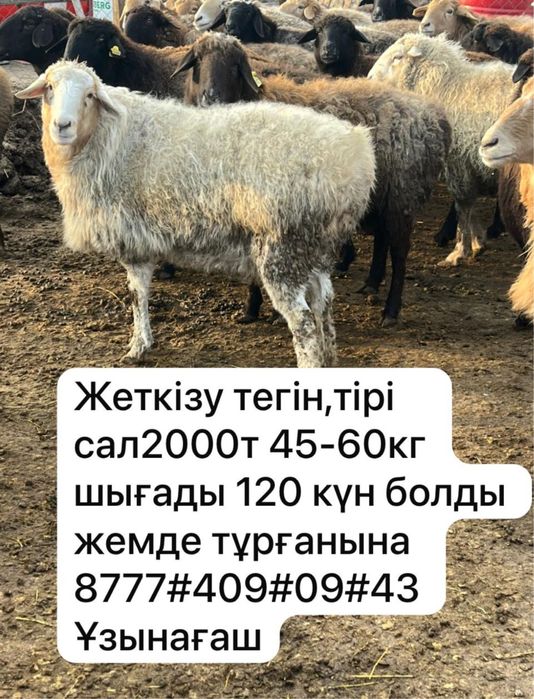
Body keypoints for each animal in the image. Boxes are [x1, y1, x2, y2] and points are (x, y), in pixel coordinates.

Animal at [16, 61, 376, 367]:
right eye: (49, 88)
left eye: (89, 95)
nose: (62, 126)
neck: (110, 137)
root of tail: (354, 156)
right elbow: (139, 293)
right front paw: (144, 342)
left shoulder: (132, 237)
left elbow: (136, 294)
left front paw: (137, 346)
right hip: (316, 245)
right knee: (323, 302)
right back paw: (329, 356)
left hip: (282, 246)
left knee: (303, 322)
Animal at [175, 33, 452, 324]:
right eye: (198, 60)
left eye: (234, 66)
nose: (211, 98)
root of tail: (436, 115)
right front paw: (251, 309)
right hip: (383, 197)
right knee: (382, 240)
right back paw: (370, 284)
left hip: (403, 195)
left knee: (399, 253)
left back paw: (390, 311)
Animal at [368, 33, 516, 266]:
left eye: (398, 57)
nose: (369, 77)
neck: (446, 87)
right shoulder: (466, 164)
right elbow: (467, 205)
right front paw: (477, 243)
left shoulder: (458, 161)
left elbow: (462, 206)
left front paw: (460, 250)